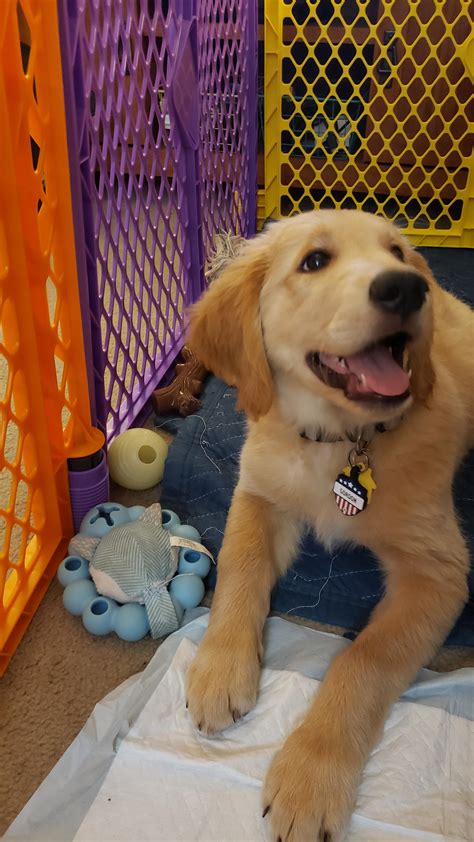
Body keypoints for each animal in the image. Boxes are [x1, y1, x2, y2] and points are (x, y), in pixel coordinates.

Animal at [184, 207, 470, 836]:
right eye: (314, 260)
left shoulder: (438, 573)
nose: (407, 286)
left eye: (397, 252)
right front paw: (219, 669)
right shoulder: (257, 492)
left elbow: (364, 659)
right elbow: (239, 567)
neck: (341, 439)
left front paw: (310, 777)